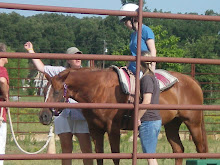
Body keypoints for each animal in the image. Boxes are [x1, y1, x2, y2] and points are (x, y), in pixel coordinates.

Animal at [39, 67, 208, 165]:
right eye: (44, 90)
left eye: (56, 92)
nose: (43, 116)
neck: (98, 88)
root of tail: (192, 81)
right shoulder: (96, 130)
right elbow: (99, 156)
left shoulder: (113, 129)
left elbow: (115, 156)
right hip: (172, 125)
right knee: (178, 150)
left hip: (193, 123)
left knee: (200, 150)